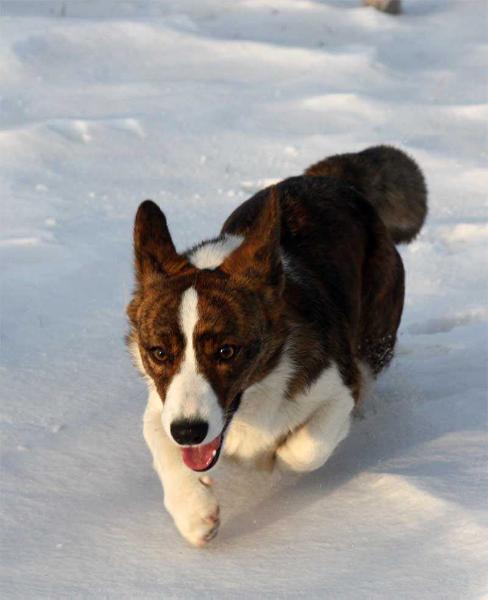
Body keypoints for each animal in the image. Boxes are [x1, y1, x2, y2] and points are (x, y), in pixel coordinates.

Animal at [127, 144, 428, 544]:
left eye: (226, 351)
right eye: (159, 353)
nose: (189, 432)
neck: (252, 400)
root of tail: (333, 179)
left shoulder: (339, 385)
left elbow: (306, 447)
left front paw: (272, 458)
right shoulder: (162, 408)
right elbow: (167, 453)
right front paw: (196, 514)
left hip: (374, 338)